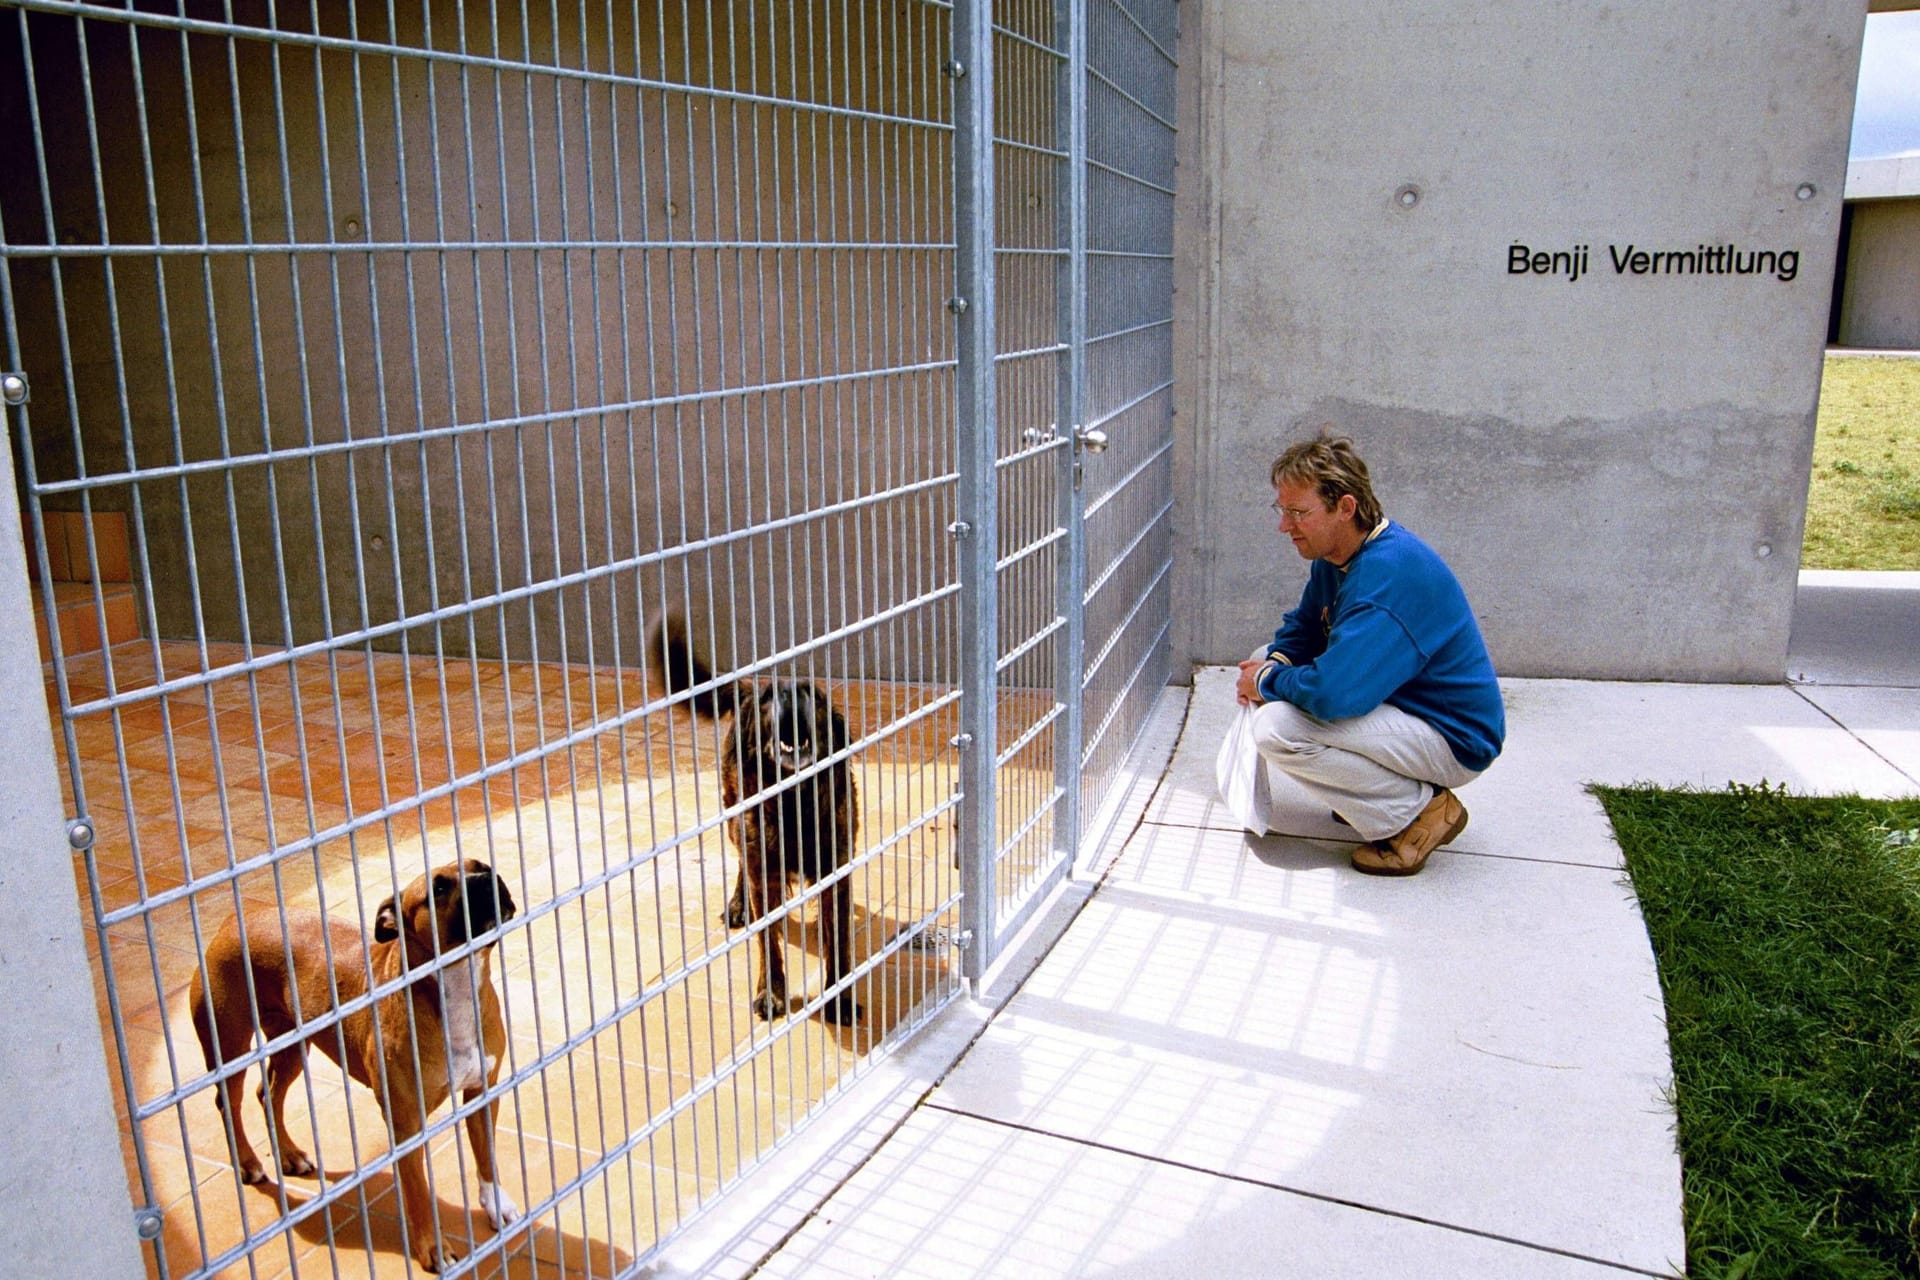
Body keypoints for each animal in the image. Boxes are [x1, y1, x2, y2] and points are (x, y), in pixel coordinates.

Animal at [190, 859, 522, 1274]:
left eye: (480, 865)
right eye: (439, 888)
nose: (487, 878)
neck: (455, 985)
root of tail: (232, 922)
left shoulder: (482, 1092)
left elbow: (486, 1156)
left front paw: (496, 1204)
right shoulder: (406, 1123)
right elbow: (417, 1192)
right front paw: (433, 1248)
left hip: (293, 1046)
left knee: (268, 1093)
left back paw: (289, 1153)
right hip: (230, 1049)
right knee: (229, 1104)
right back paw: (249, 1161)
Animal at [656, 614, 860, 1028]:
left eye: (812, 694)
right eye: (771, 699)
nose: (787, 692)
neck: (794, 803)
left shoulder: (837, 871)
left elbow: (840, 940)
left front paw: (841, 997)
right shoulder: (763, 872)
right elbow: (770, 943)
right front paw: (772, 994)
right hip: (738, 816)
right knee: (741, 860)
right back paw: (738, 904)